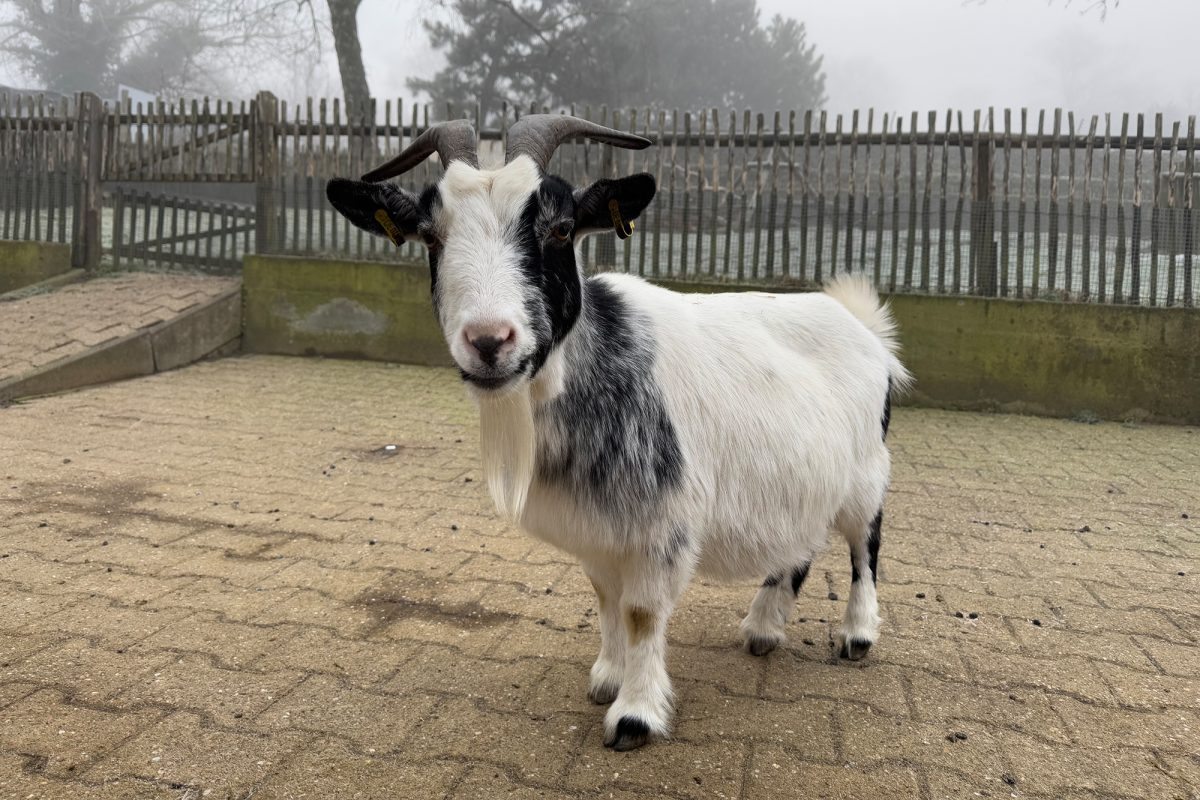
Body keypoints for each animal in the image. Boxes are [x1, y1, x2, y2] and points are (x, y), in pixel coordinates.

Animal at [328, 115, 907, 753]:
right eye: (431, 237)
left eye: (559, 229)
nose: (488, 341)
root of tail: (863, 326)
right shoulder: (596, 525)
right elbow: (606, 600)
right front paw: (607, 676)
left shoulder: (662, 524)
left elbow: (641, 614)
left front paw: (635, 714)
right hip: (799, 478)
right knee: (798, 545)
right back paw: (761, 628)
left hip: (867, 473)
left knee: (865, 546)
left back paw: (857, 635)